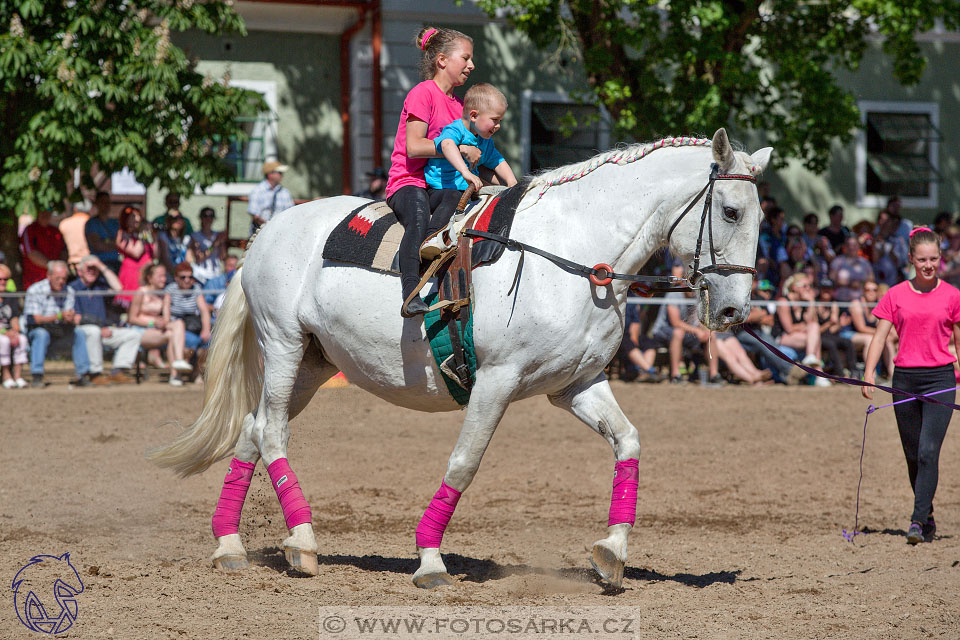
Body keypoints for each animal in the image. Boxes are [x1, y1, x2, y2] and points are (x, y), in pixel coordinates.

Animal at [148, 129, 772, 592]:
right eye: (731, 212)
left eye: (761, 219)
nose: (735, 310)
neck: (570, 253)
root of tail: (263, 234)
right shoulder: (496, 382)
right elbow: (464, 464)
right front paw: (428, 559)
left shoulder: (577, 384)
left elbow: (629, 442)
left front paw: (612, 552)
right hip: (282, 345)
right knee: (273, 433)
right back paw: (302, 542)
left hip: (311, 364)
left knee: (253, 430)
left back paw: (229, 545)